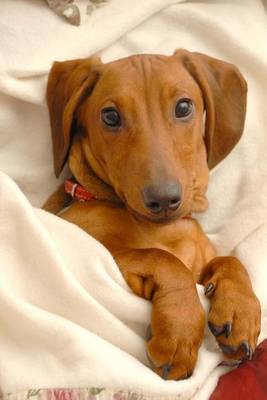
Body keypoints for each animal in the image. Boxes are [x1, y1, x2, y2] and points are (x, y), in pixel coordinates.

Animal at [44, 50, 262, 382]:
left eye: (183, 107)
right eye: (110, 116)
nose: (164, 200)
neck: (168, 229)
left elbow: (230, 261)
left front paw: (241, 309)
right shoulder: (102, 253)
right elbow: (165, 260)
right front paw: (180, 334)